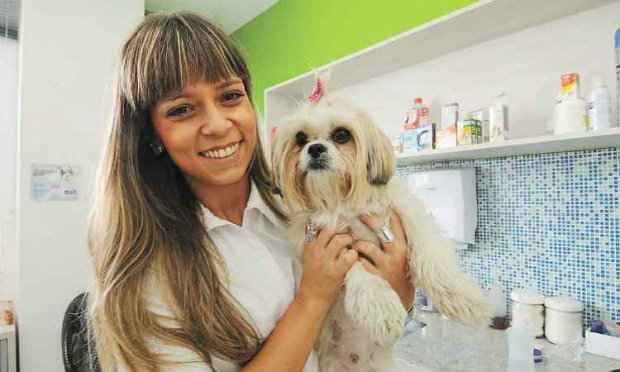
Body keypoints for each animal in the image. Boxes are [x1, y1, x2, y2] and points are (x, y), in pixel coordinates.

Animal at [270, 80, 490, 370]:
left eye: (342, 135)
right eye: (300, 138)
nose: (315, 148)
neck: (342, 202)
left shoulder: (405, 214)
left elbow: (431, 254)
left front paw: (463, 296)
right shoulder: (323, 242)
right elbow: (357, 269)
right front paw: (381, 307)